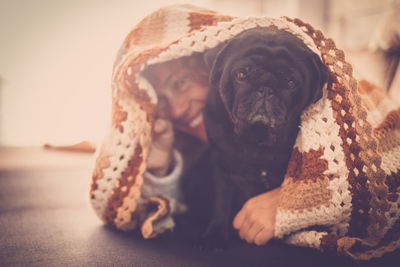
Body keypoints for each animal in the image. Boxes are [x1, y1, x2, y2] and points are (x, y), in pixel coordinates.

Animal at [180, 27, 328, 249]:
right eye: (241, 74)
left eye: (291, 83)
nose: (266, 89)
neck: (257, 140)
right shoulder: (222, 169)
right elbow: (221, 203)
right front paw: (215, 236)